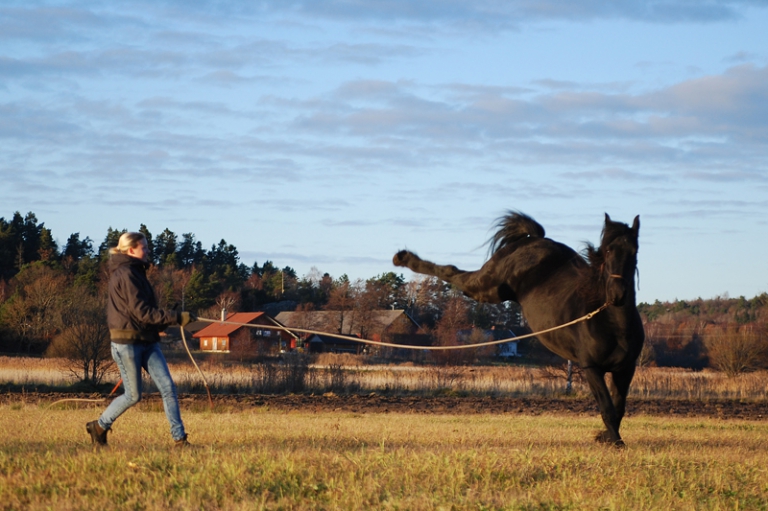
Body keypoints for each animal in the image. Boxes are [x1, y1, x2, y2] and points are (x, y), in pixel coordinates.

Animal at [392, 212, 644, 448]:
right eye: (607, 250)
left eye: (634, 250)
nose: (617, 294)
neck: (611, 323)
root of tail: (532, 239)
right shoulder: (591, 368)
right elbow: (607, 408)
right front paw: (614, 442)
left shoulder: (625, 370)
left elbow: (618, 408)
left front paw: (605, 437)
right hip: (487, 287)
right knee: (453, 272)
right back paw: (402, 257)